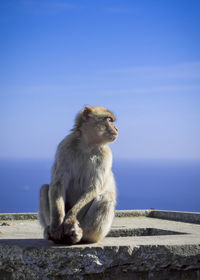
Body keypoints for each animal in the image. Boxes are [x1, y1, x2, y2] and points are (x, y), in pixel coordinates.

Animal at [38, 106, 118, 244]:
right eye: (108, 120)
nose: (116, 129)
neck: (87, 146)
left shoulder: (106, 155)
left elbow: (93, 188)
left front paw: (69, 222)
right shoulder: (64, 147)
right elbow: (58, 185)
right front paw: (57, 225)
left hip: (96, 231)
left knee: (106, 197)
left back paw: (78, 234)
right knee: (44, 189)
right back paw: (50, 232)